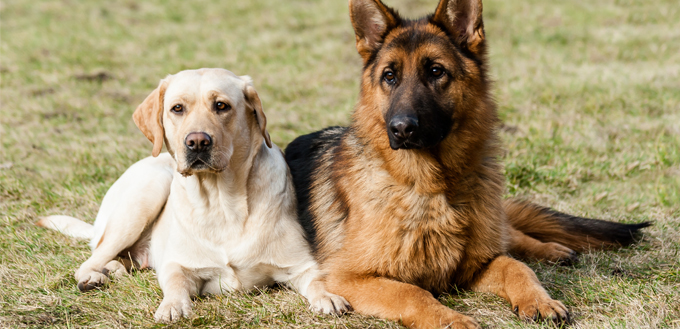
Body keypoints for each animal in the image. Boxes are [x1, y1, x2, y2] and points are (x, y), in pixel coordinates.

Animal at [284, 0, 652, 326]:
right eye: (389, 76)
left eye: (436, 71)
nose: (401, 129)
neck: (433, 188)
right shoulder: (349, 279)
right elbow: (412, 293)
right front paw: (450, 320)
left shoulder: (476, 265)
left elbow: (516, 268)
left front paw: (539, 300)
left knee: (510, 238)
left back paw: (552, 249)